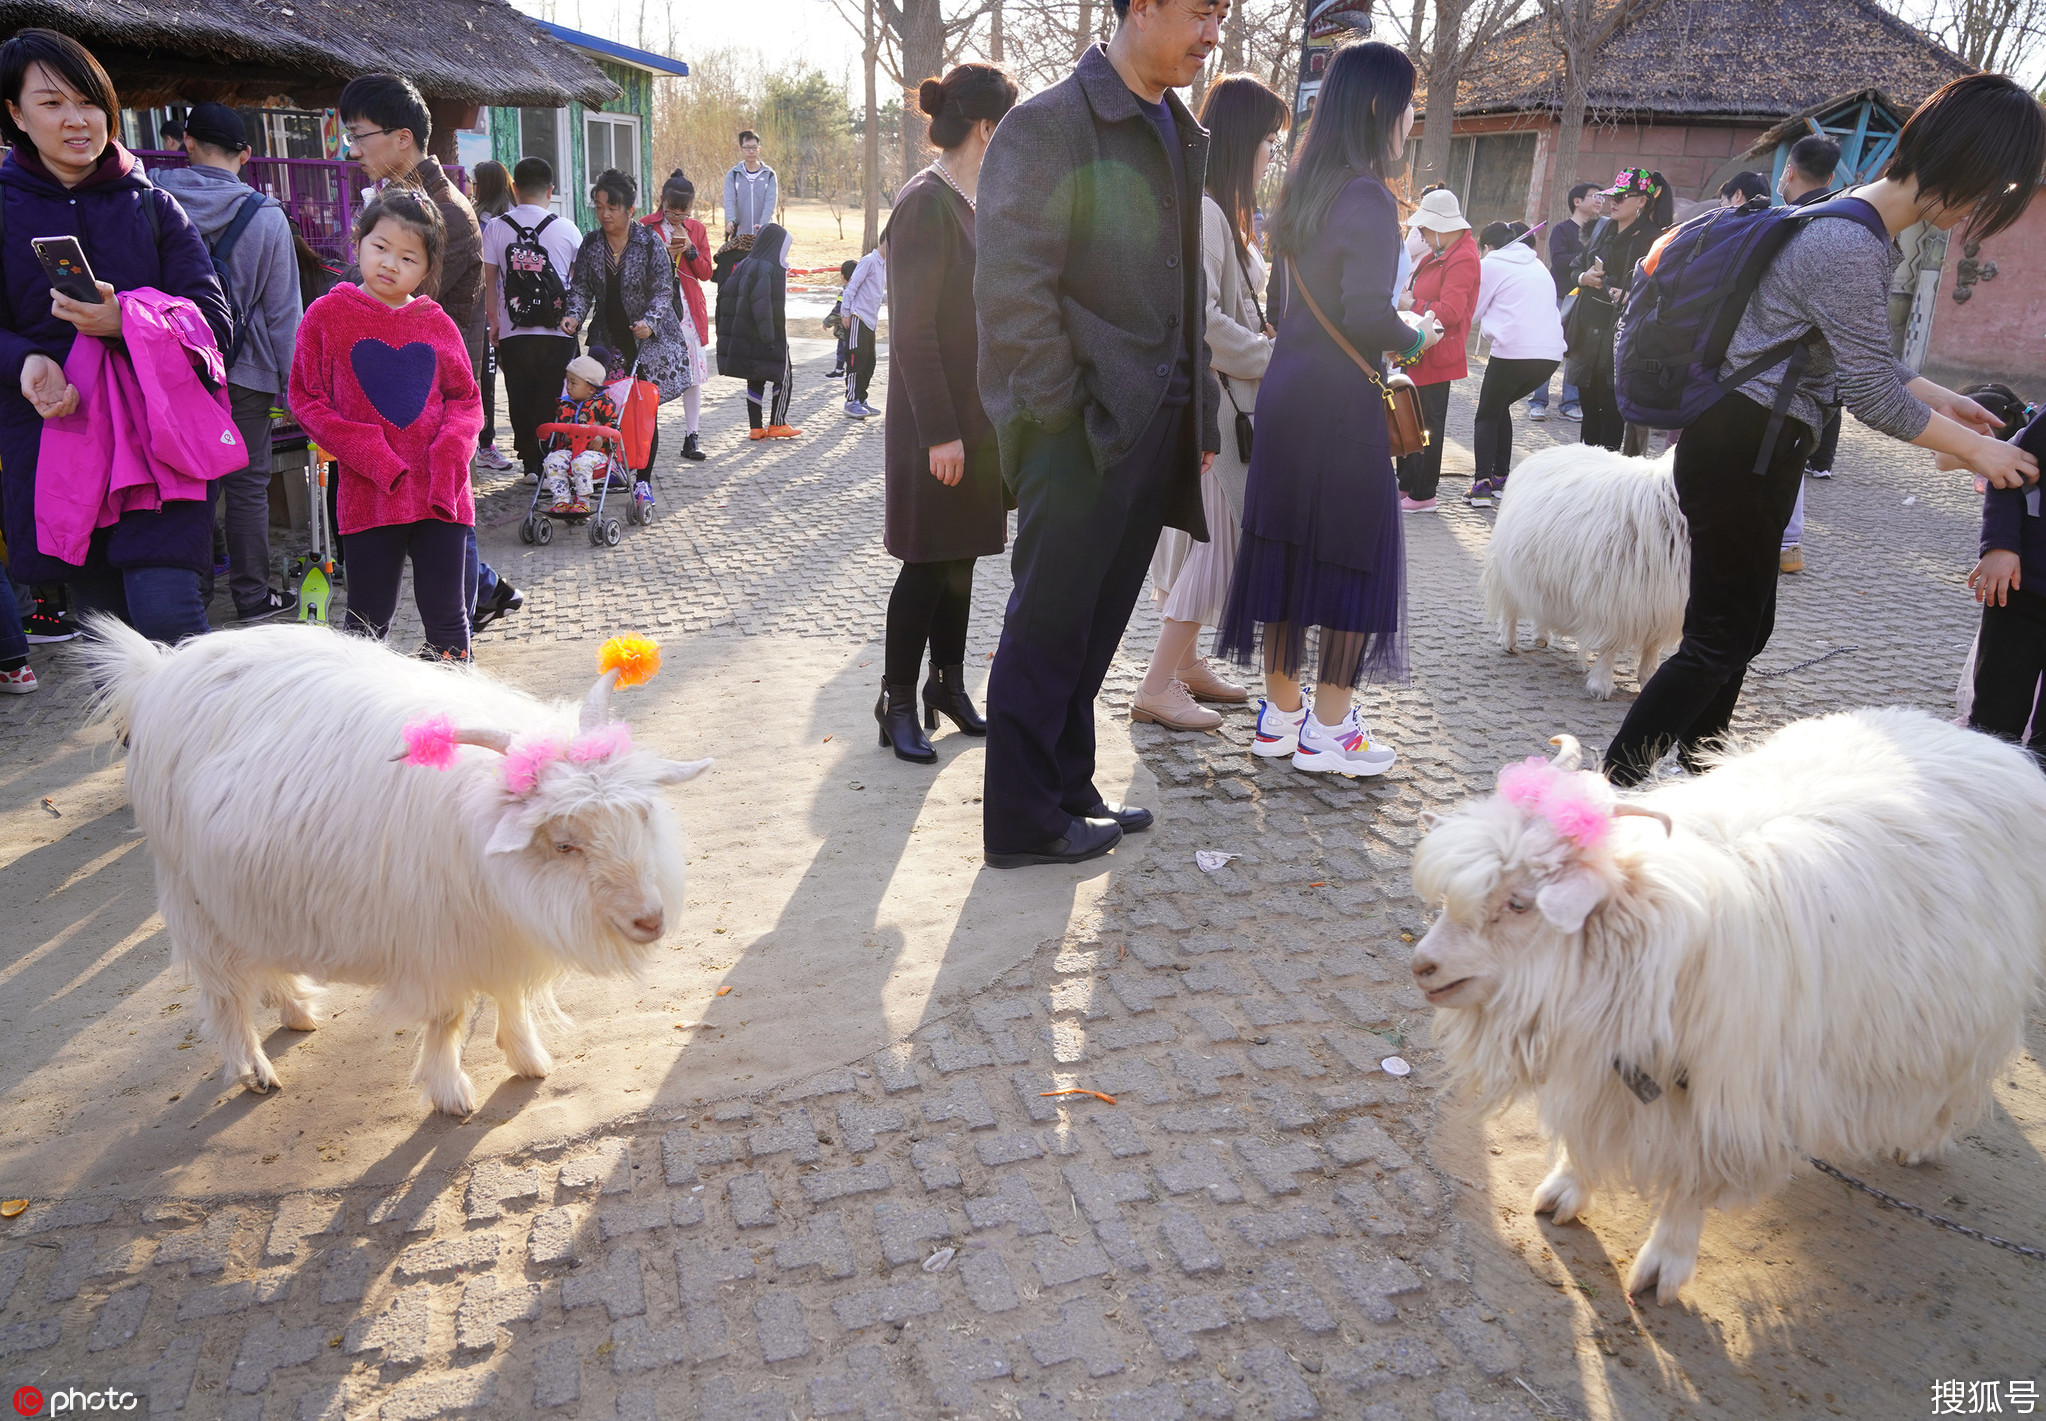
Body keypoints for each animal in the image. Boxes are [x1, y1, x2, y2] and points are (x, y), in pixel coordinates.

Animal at [85, 621, 712, 1120]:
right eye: (563, 844)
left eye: (641, 814)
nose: (650, 921)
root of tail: (159, 670)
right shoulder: (435, 939)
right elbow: (450, 1015)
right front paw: (450, 1092)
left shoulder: (499, 931)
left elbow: (509, 993)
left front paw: (527, 1057)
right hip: (191, 892)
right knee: (222, 988)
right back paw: (252, 1069)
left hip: (246, 887)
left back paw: (296, 1010)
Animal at [1407, 707, 2046, 1308]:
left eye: (1520, 904)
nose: (1422, 966)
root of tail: (1983, 741)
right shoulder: (1605, 1069)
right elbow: (1586, 1134)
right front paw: (1567, 1188)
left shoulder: (1724, 1098)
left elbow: (1691, 1183)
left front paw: (1666, 1263)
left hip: (1973, 1010)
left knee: (1958, 1078)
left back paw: (1925, 1140)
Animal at [1481, 449, 1685, 699]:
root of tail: (1544, 452)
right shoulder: (1614, 600)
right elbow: (1610, 646)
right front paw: (1601, 684)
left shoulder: (1661, 605)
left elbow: (1651, 650)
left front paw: (1648, 681)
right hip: (1509, 569)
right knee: (1510, 607)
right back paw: (1508, 641)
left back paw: (1540, 635)